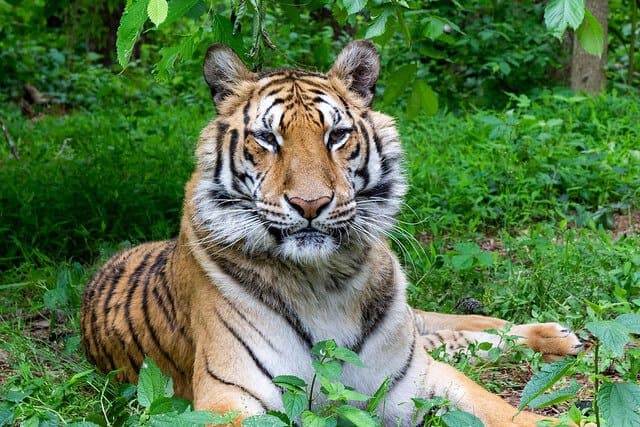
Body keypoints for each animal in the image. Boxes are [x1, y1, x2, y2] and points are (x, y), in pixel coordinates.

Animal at [80, 40, 585, 426]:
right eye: (267, 139)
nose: (310, 204)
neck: (326, 279)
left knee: (465, 329)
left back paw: (557, 335)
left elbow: (506, 411)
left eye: (336, 135)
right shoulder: (231, 397)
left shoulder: (413, 377)